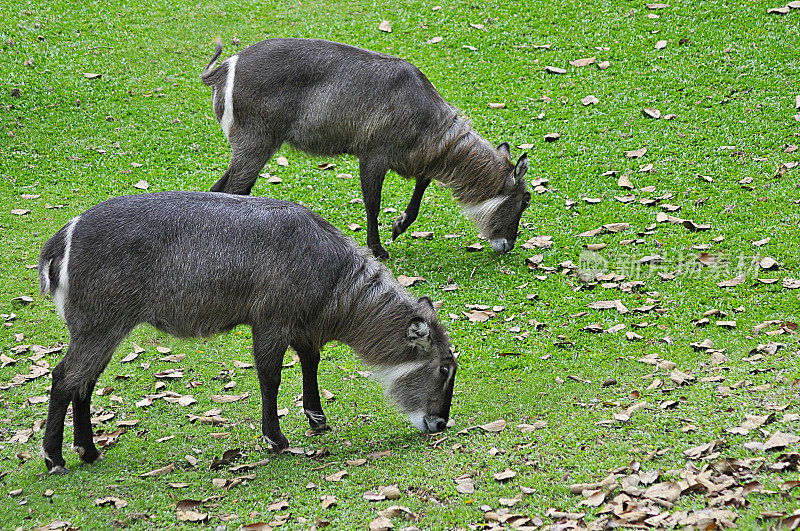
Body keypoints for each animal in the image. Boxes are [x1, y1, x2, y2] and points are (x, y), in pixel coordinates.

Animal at [36, 191, 456, 474]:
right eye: (444, 368)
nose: (439, 424)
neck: (335, 280)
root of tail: (61, 239)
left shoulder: (303, 327)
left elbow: (311, 364)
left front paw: (318, 421)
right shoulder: (271, 322)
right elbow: (270, 378)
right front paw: (276, 439)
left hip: (103, 329)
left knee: (83, 383)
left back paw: (89, 451)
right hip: (98, 324)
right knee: (63, 378)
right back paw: (55, 458)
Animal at [200, 38, 532, 258]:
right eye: (526, 200)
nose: (508, 245)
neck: (426, 116)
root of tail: (226, 67)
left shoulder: (416, 159)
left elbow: (422, 184)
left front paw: (399, 225)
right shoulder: (373, 156)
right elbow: (373, 202)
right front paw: (378, 248)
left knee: (221, 189)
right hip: (255, 145)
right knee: (235, 190)